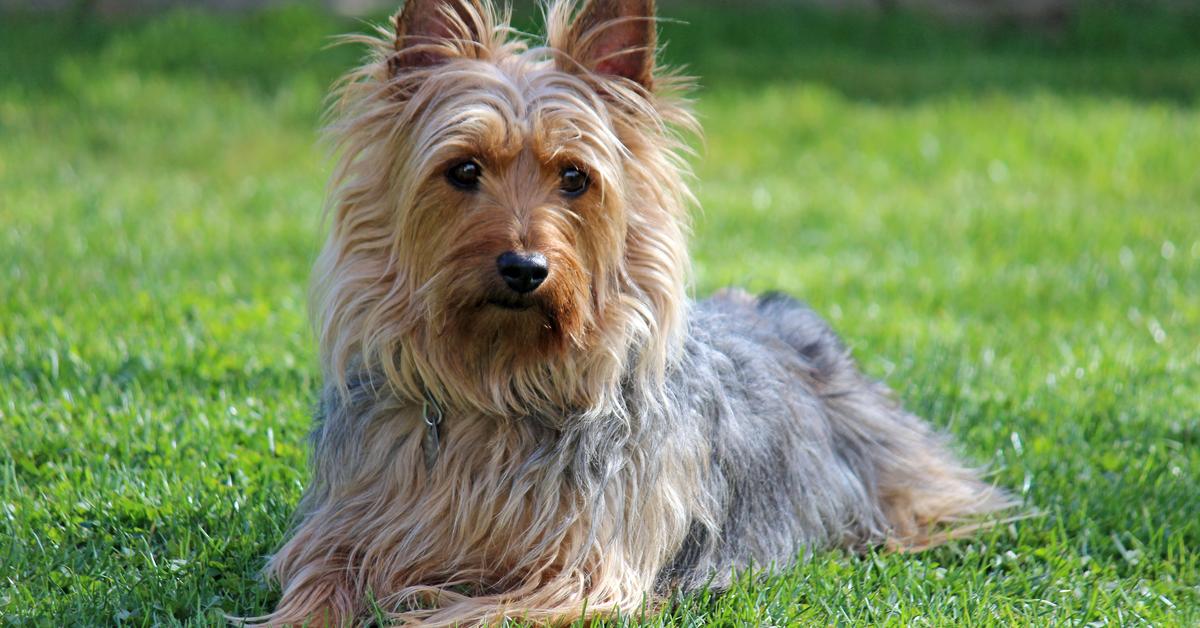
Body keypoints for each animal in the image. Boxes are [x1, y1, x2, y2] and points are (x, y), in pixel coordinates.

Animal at [253, 2, 1012, 624]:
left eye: (575, 177)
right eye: (463, 170)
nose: (524, 268)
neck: (498, 385)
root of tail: (773, 313)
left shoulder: (583, 571)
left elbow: (475, 612)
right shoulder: (345, 530)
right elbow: (317, 584)